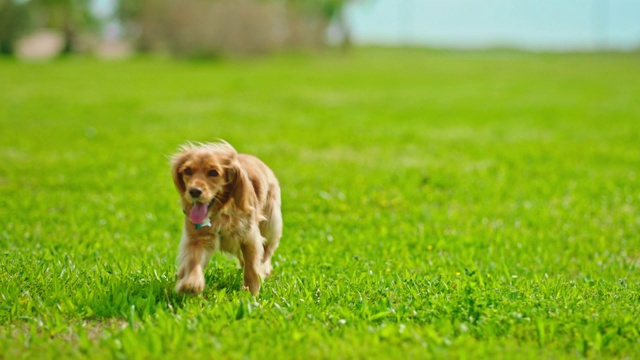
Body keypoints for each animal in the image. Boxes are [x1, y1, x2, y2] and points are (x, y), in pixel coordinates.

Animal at [170, 141, 282, 296]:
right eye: (187, 171)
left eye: (213, 172)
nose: (194, 191)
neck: (220, 212)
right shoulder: (197, 238)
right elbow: (193, 260)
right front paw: (191, 283)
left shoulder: (250, 238)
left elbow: (252, 268)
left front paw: (251, 292)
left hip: (271, 227)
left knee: (266, 254)